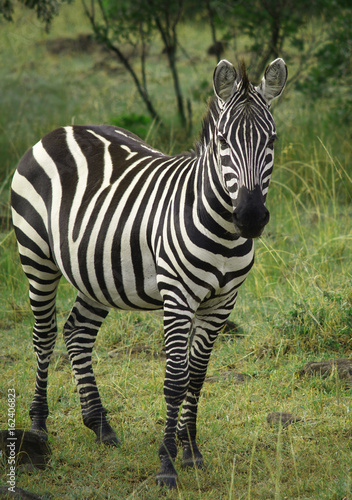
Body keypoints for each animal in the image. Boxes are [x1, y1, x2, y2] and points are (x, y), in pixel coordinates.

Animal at [11, 57, 288, 488]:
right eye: (223, 142)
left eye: (272, 141)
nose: (251, 217)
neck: (225, 233)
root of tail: (62, 129)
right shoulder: (177, 296)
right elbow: (175, 381)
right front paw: (167, 464)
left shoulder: (222, 303)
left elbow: (196, 376)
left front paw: (191, 451)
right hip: (36, 255)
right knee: (44, 336)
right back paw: (39, 428)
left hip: (97, 271)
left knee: (77, 333)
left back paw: (100, 425)